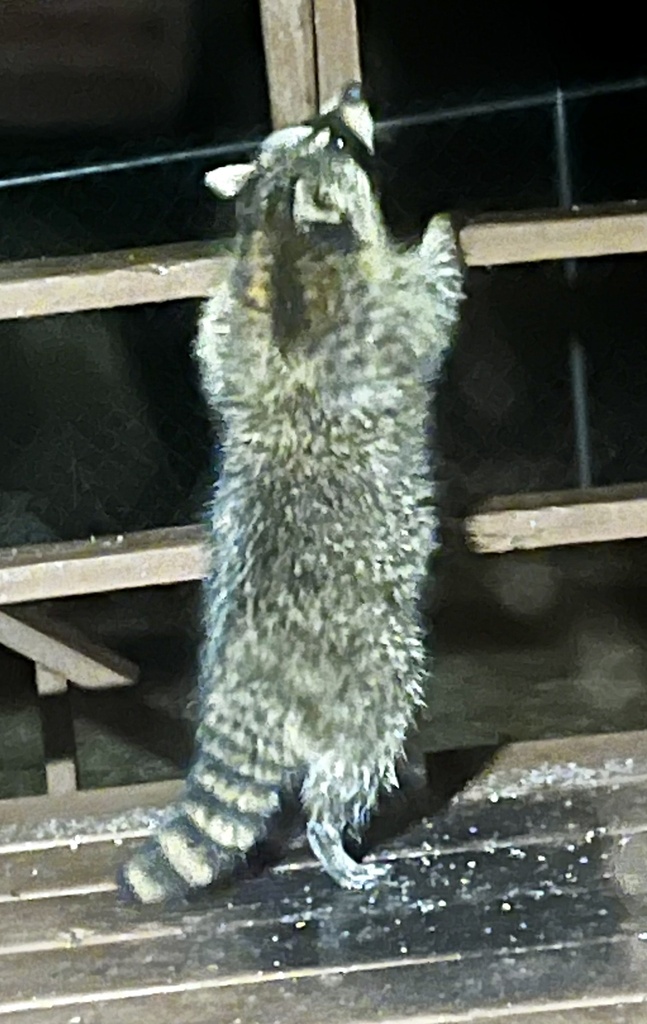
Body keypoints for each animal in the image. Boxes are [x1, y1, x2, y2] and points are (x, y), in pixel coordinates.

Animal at [117, 82, 464, 903]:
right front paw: (438, 236)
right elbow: (427, 311)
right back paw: (329, 832)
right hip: (371, 671)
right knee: (361, 745)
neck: (280, 235)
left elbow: (216, 347)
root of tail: (250, 682)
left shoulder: (232, 316)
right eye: (333, 138)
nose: (353, 94)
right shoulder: (376, 317)